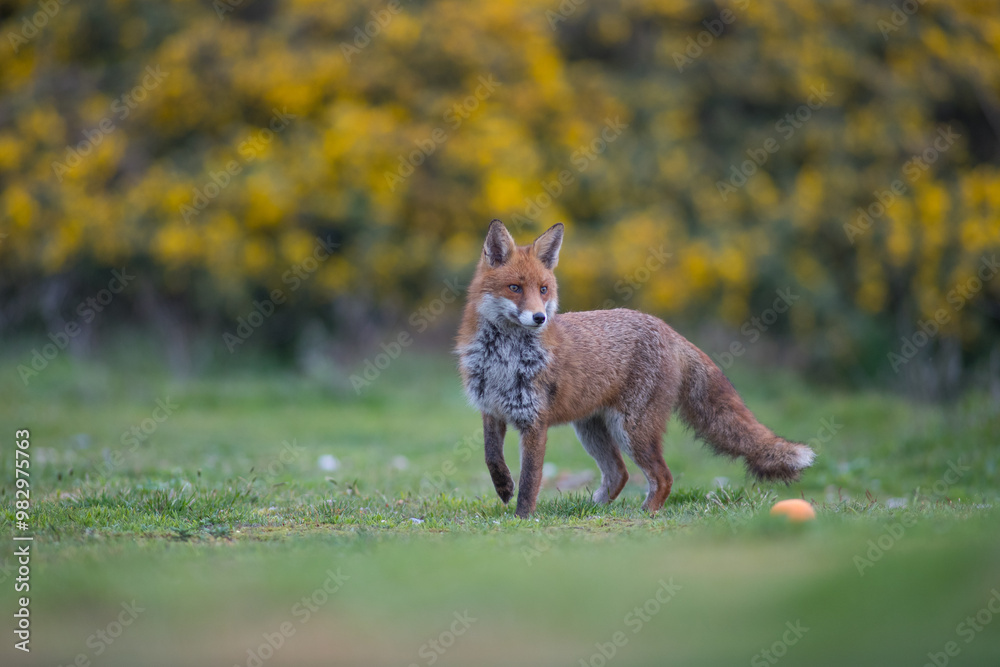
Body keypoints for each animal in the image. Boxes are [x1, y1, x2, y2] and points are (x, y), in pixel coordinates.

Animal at [456, 219, 815, 518]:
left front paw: (522, 518)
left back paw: (645, 513)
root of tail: (667, 329)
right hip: (592, 429)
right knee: (619, 474)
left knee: (662, 477)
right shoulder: (492, 409)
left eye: (543, 290)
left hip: (631, 428)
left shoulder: (535, 420)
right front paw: (504, 487)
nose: (540, 318)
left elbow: (531, 478)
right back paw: (591, 510)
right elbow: (491, 456)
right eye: (515, 288)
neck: (503, 358)